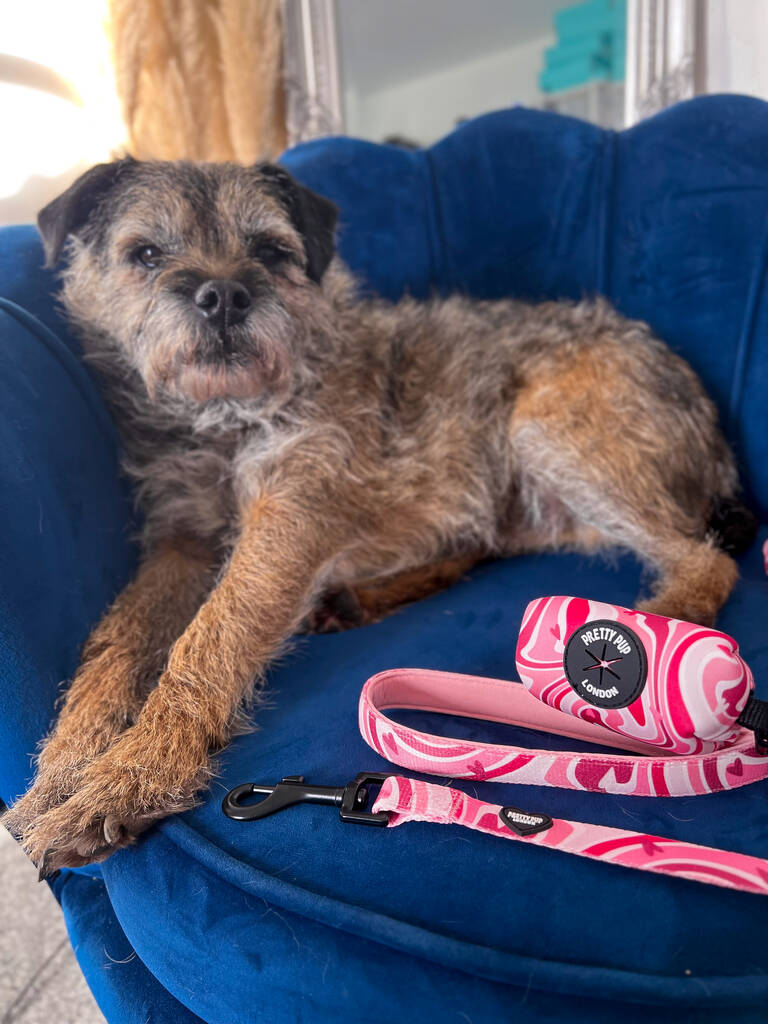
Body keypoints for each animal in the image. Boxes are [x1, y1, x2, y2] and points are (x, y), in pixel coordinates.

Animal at [1, 155, 757, 868]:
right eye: (147, 254)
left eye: (270, 251)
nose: (223, 295)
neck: (223, 419)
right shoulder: (181, 542)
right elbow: (119, 639)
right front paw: (64, 768)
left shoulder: (290, 515)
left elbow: (211, 632)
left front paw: (131, 774)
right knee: (483, 542)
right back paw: (362, 597)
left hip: (550, 428)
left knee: (706, 559)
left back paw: (656, 630)